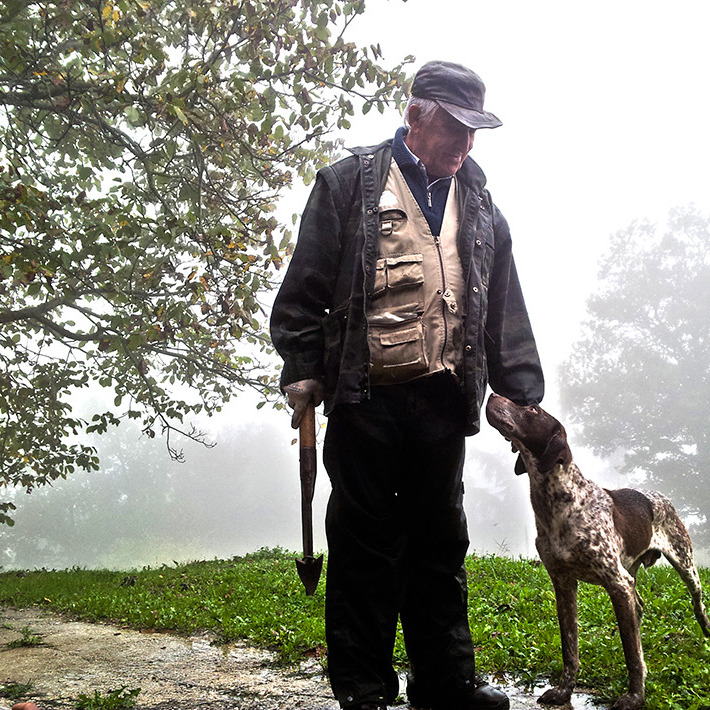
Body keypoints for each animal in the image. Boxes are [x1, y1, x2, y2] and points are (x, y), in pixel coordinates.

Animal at [486, 394, 708, 710]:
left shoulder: (617, 583)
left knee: (697, 605)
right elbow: (570, 649)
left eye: (532, 409)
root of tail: (660, 496)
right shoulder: (564, 583)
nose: (492, 395)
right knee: (639, 607)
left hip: (685, 565)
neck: (558, 505)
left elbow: (632, 655)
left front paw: (635, 697)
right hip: (632, 573)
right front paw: (564, 691)